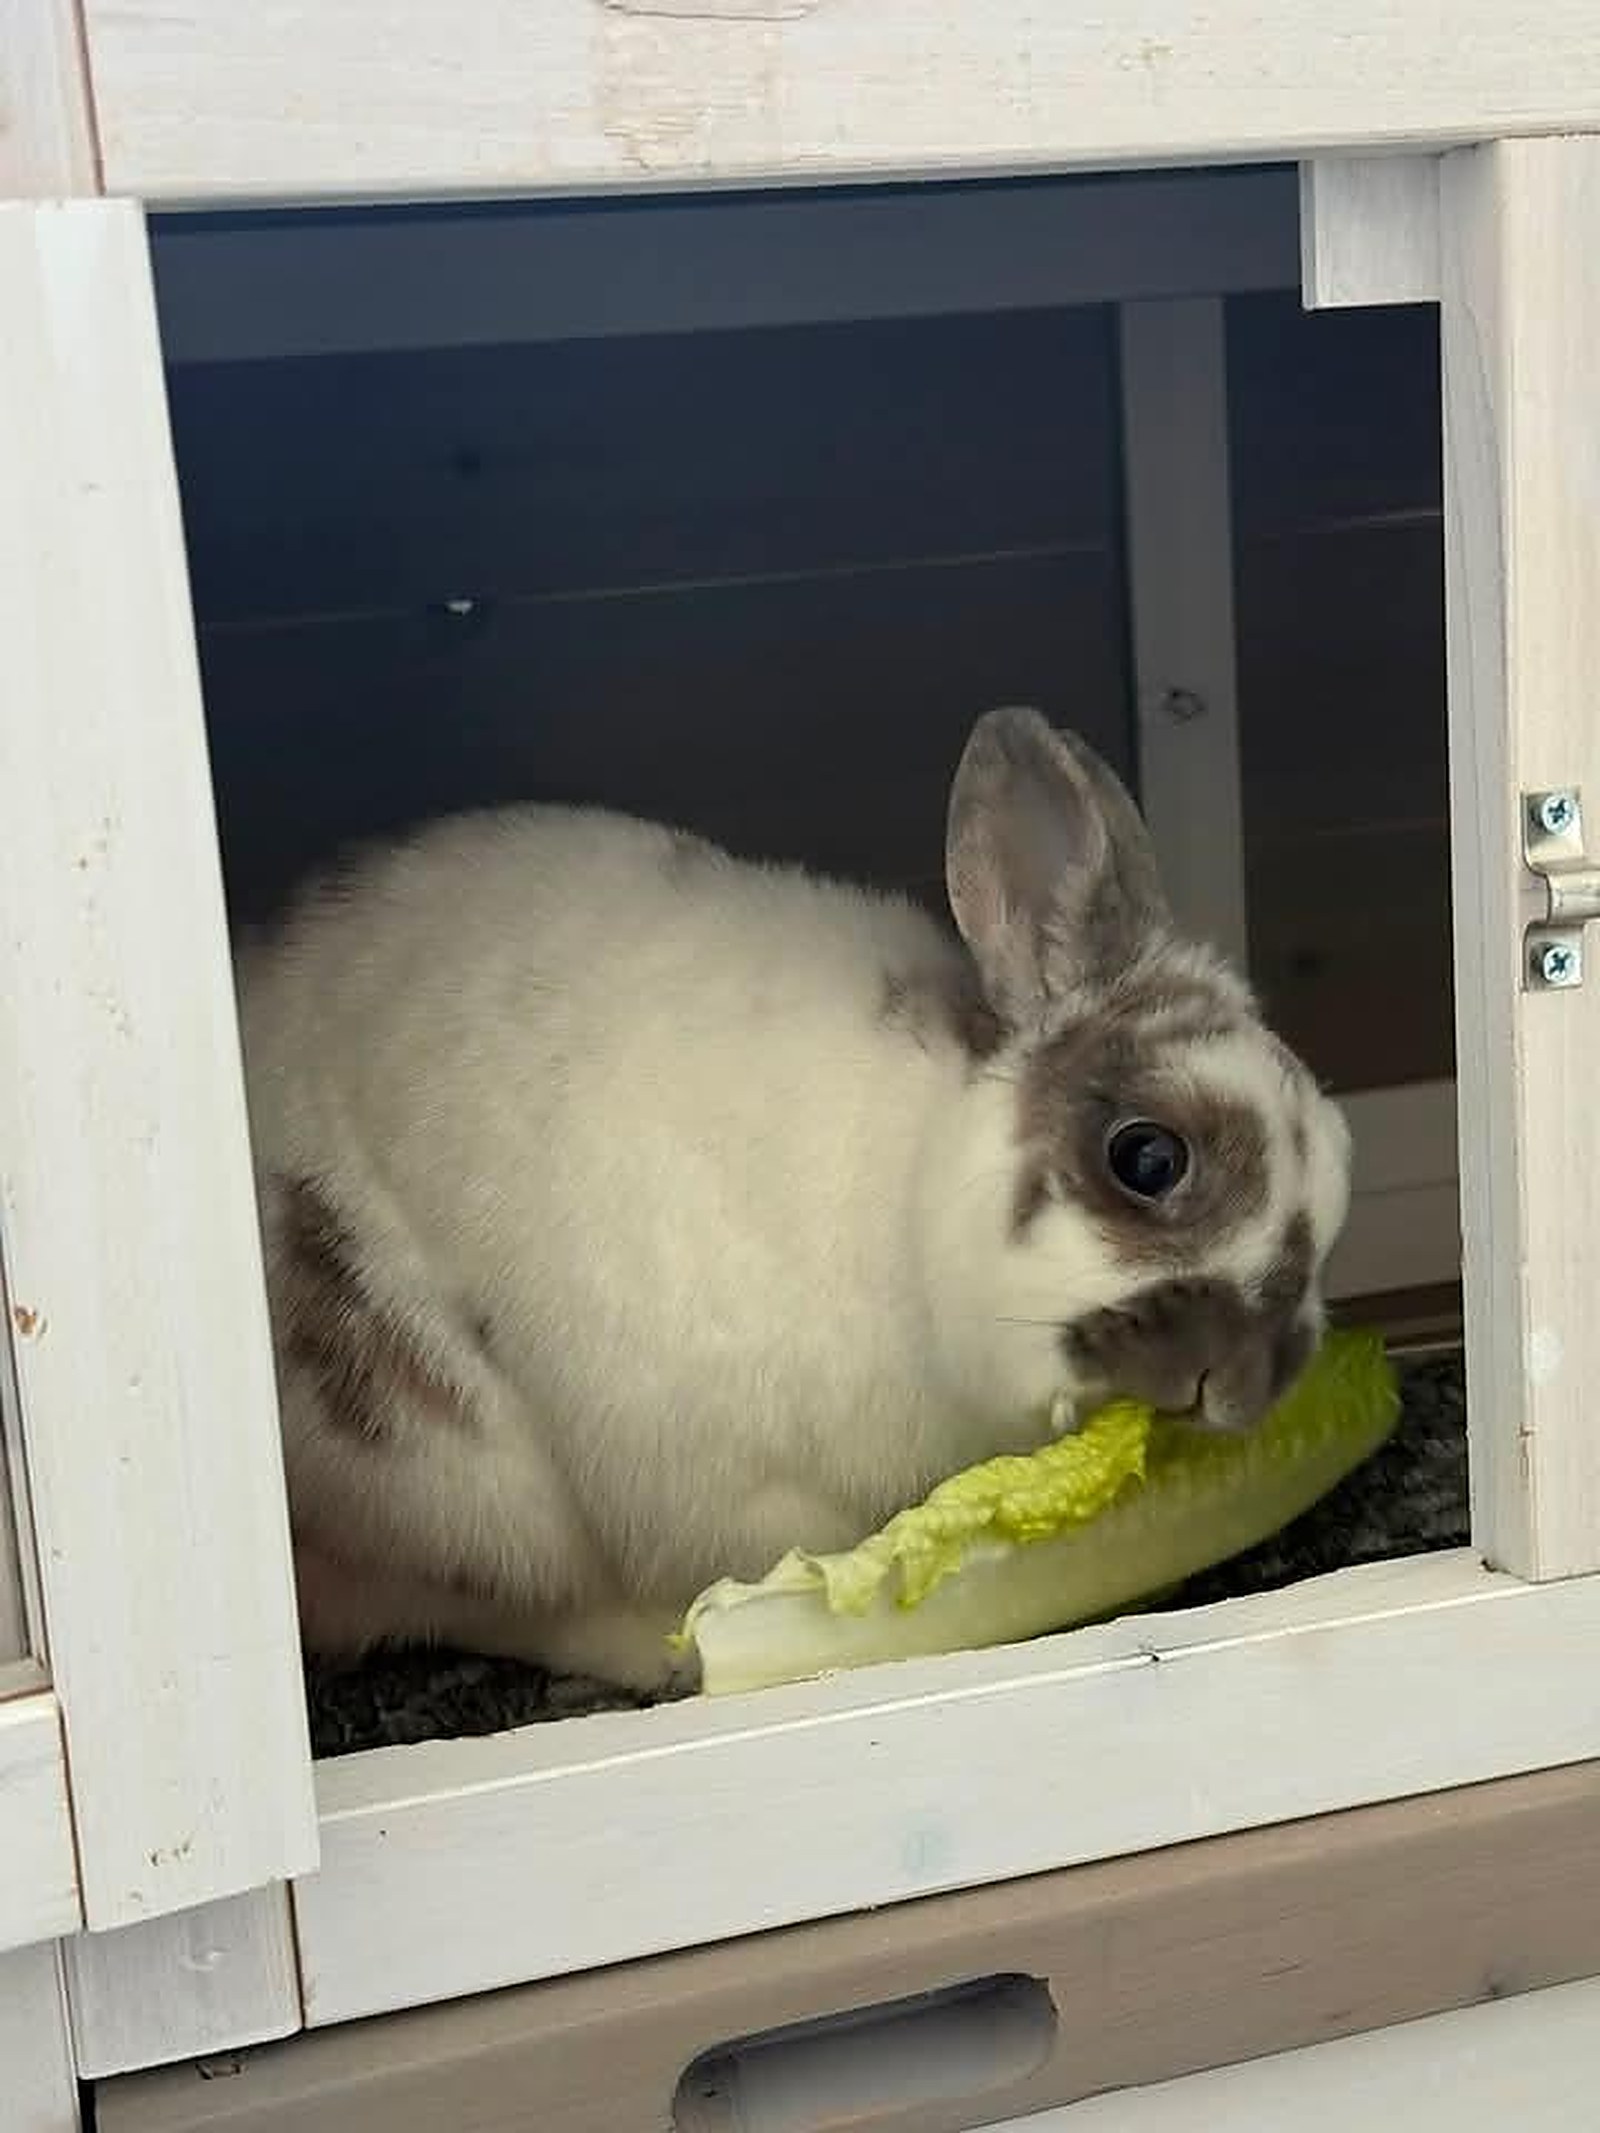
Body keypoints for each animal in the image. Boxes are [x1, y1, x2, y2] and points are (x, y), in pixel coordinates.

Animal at [234, 706, 1352, 1691]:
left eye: (1340, 1178)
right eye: (1148, 1158)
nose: (1245, 1385)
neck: (906, 1198)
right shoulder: (737, 1487)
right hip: (445, 1462)